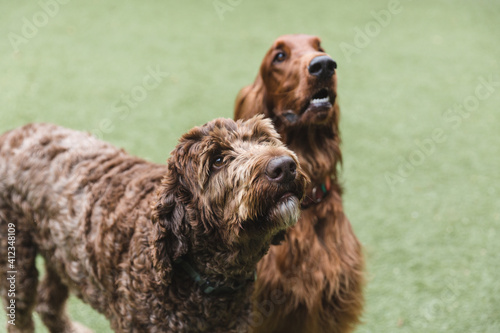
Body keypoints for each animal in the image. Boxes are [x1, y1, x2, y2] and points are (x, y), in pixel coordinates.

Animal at [0, 115, 306, 330]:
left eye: (265, 139)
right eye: (218, 160)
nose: (284, 166)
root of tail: (13, 133)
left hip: (62, 253)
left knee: (48, 304)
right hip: (17, 259)